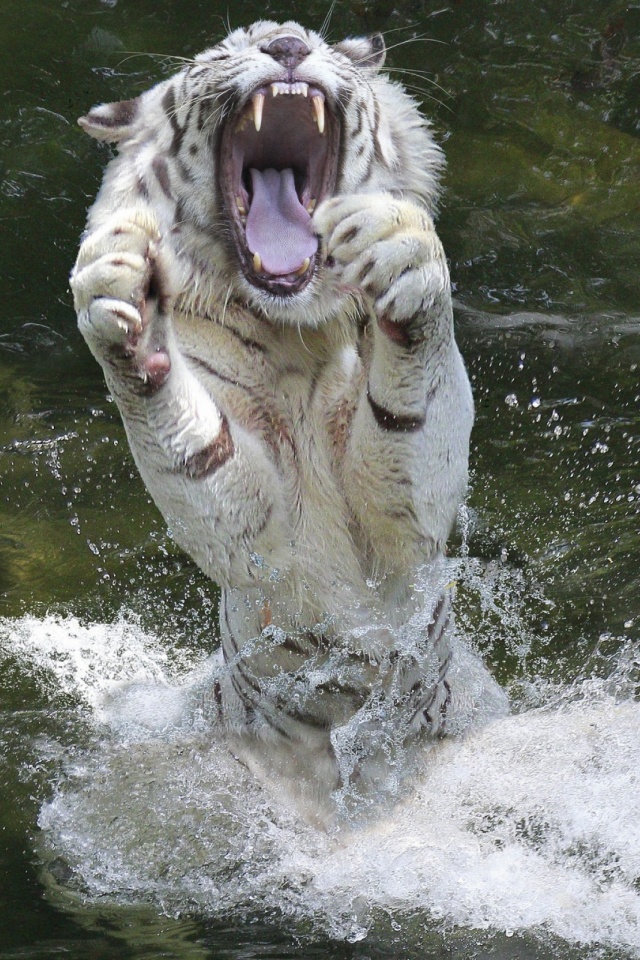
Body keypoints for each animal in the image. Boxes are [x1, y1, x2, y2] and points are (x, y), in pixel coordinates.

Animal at [70, 20, 507, 821]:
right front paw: (125, 302)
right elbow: (200, 459)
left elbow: (416, 416)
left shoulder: (410, 528)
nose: (285, 44)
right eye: (225, 50)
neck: (296, 329)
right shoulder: (258, 534)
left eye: (314, 38)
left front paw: (402, 257)